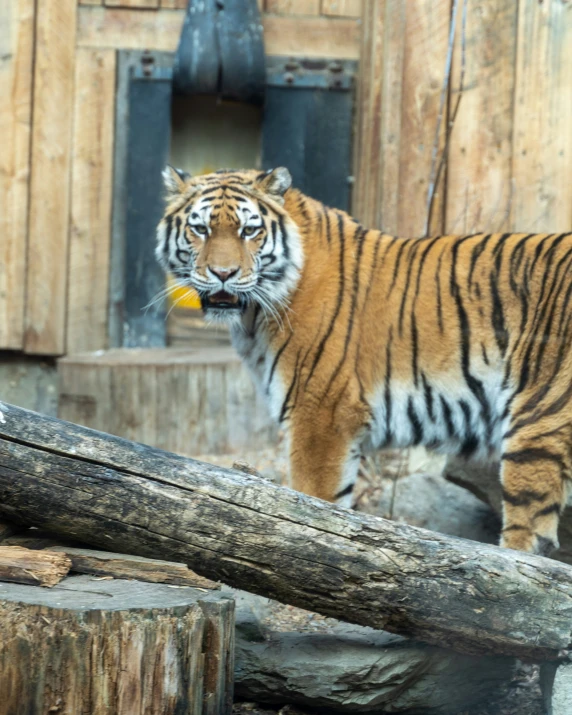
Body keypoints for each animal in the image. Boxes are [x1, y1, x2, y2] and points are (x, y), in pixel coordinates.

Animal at [158, 165, 572, 556]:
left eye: (248, 231)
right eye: (200, 229)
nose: (223, 274)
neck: (253, 314)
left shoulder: (320, 414)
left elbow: (314, 507)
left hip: (539, 420)